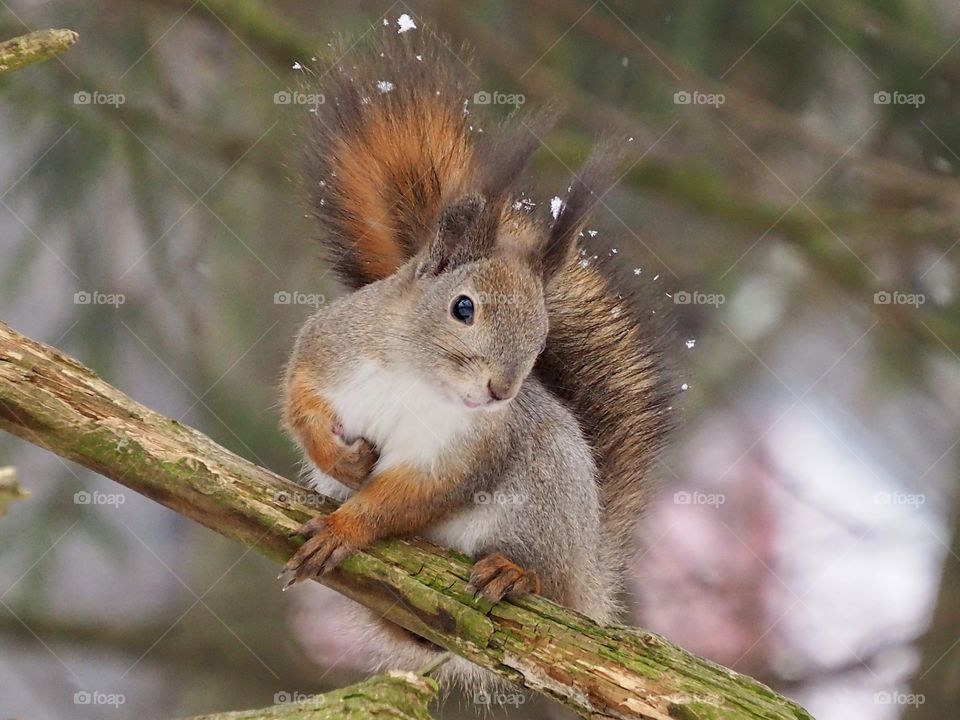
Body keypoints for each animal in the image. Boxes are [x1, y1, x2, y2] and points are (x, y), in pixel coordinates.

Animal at [279, 25, 673, 689]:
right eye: (463, 307)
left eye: (542, 336)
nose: (500, 391)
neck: (415, 377)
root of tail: (588, 580)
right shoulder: (327, 349)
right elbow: (300, 405)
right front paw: (342, 462)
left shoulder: (462, 455)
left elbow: (408, 497)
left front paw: (343, 527)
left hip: (541, 509)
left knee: (541, 580)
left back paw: (515, 575)